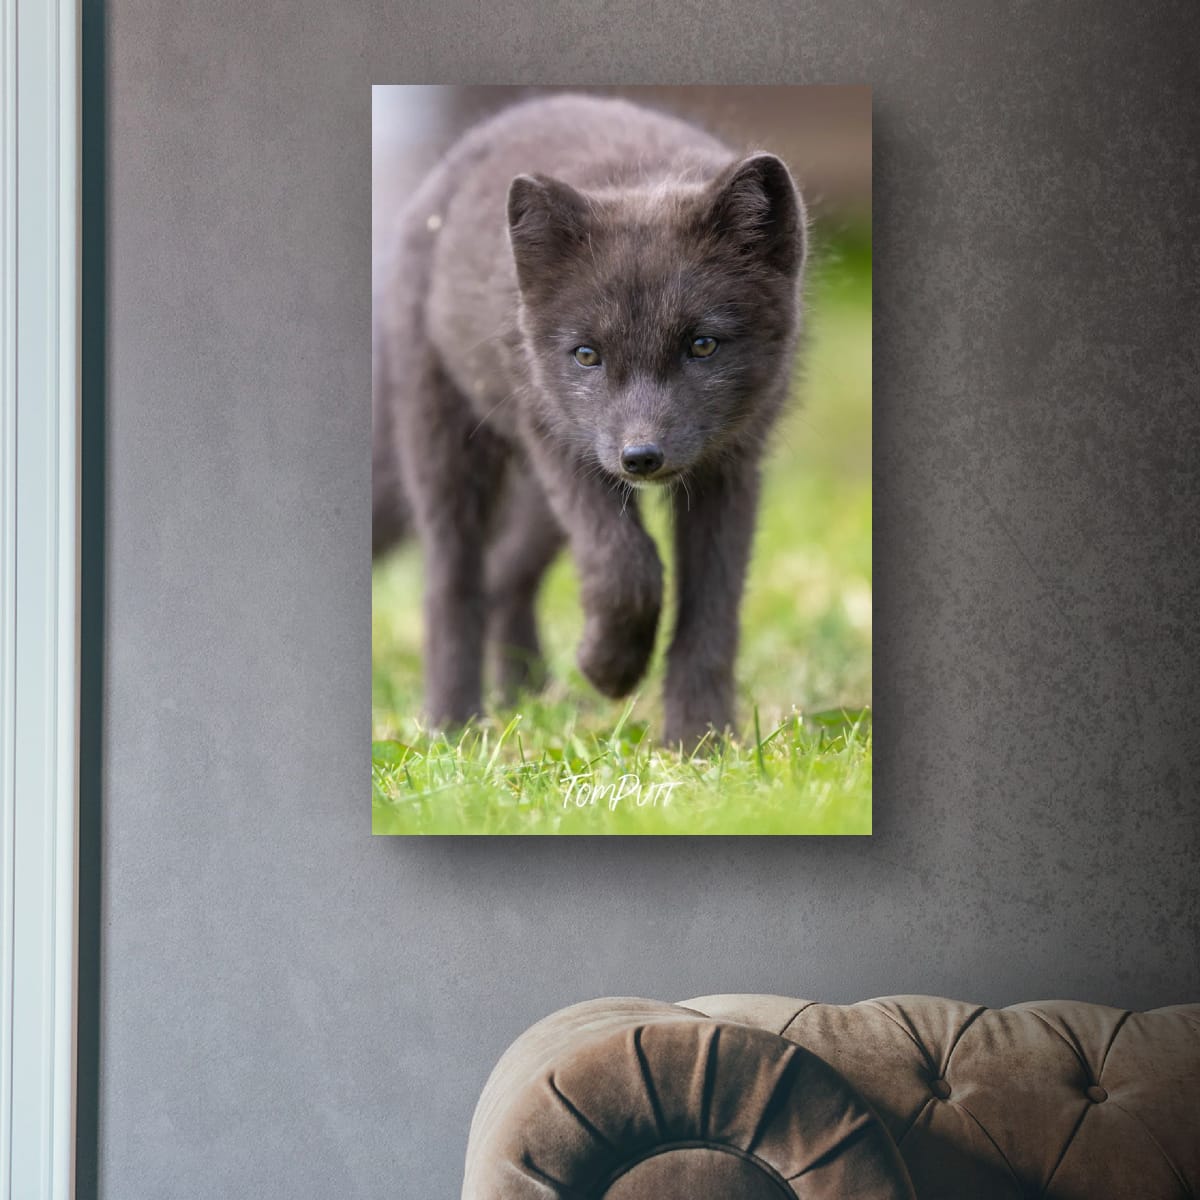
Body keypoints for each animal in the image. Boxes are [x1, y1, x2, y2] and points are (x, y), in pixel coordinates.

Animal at [372, 92, 807, 746]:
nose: (641, 457)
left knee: (504, 577)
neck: (641, 179)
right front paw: (609, 669)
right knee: (452, 581)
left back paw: (523, 696)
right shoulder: (558, 442)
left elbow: (712, 611)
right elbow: (625, 568)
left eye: (703, 346)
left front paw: (698, 743)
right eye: (586, 355)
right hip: (447, 446)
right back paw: (456, 726)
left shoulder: (731, 465)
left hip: (541, 504)